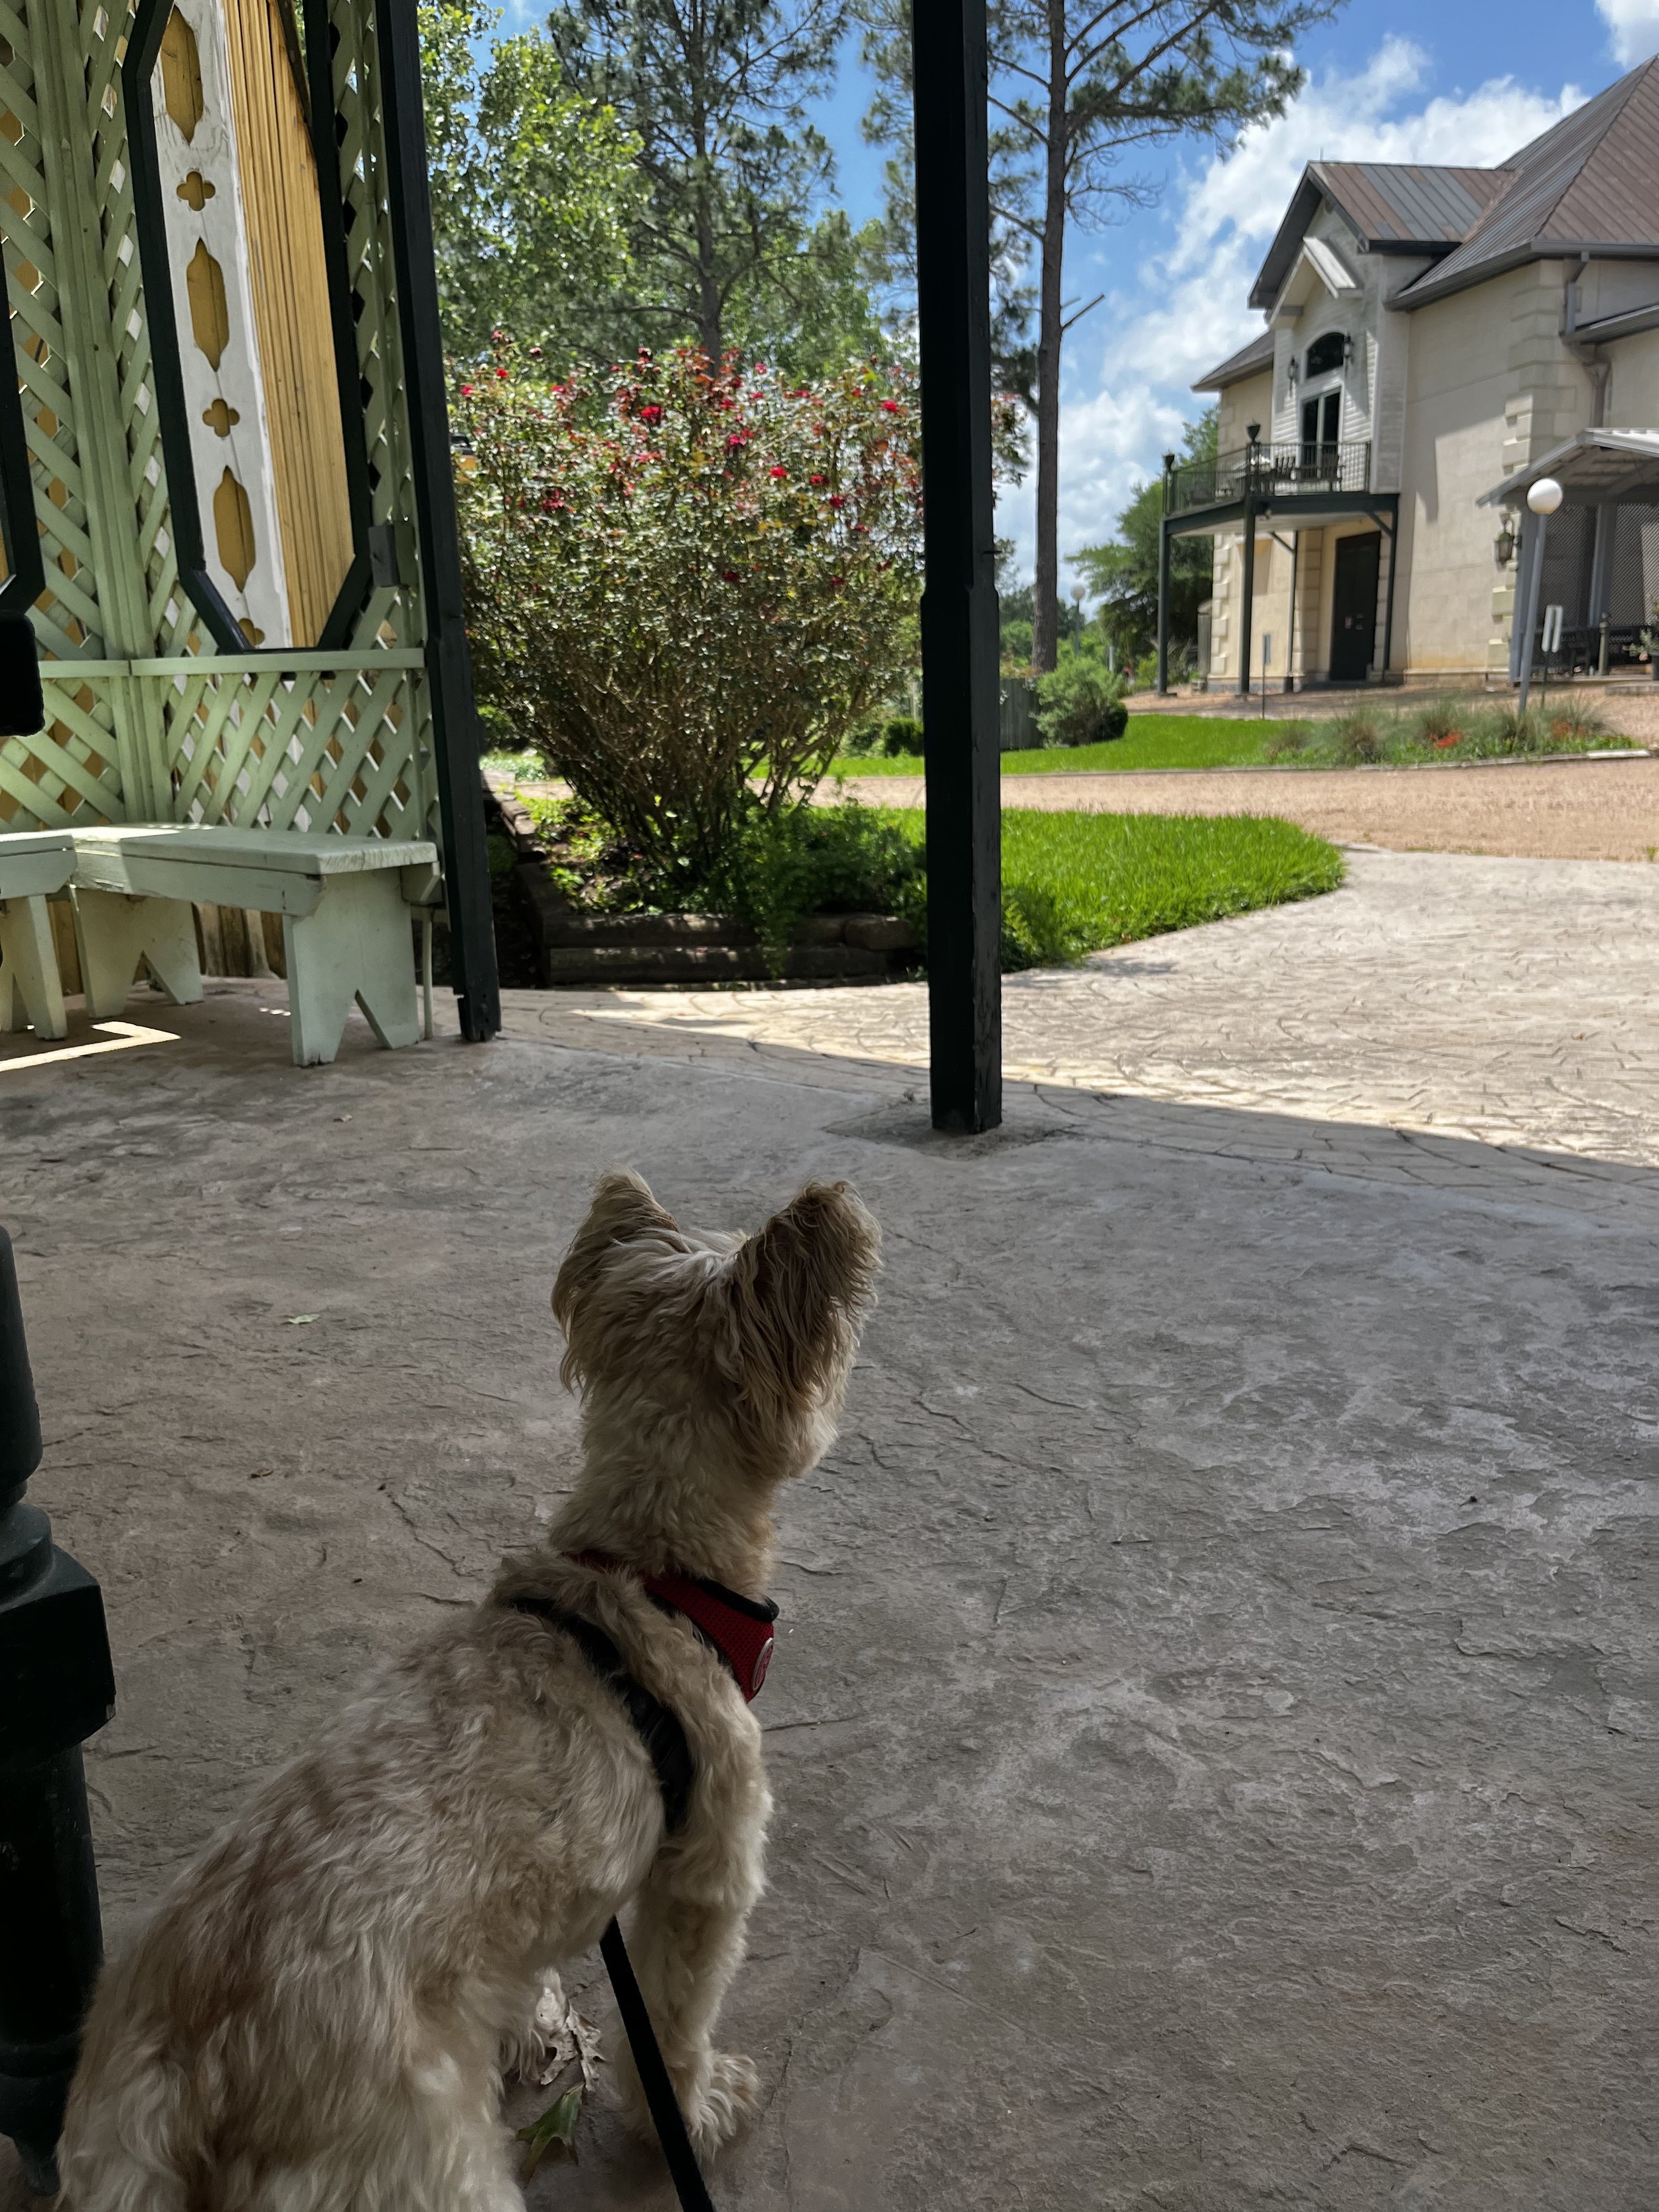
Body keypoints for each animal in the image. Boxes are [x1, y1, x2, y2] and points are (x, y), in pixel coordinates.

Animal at [56, 1177, 876, 2212]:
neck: (645, 1566)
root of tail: (185, 2077)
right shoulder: (707, 1870)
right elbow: (675, 2013)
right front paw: (689, 2110)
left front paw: (536, 2021)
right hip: (421, 2166)